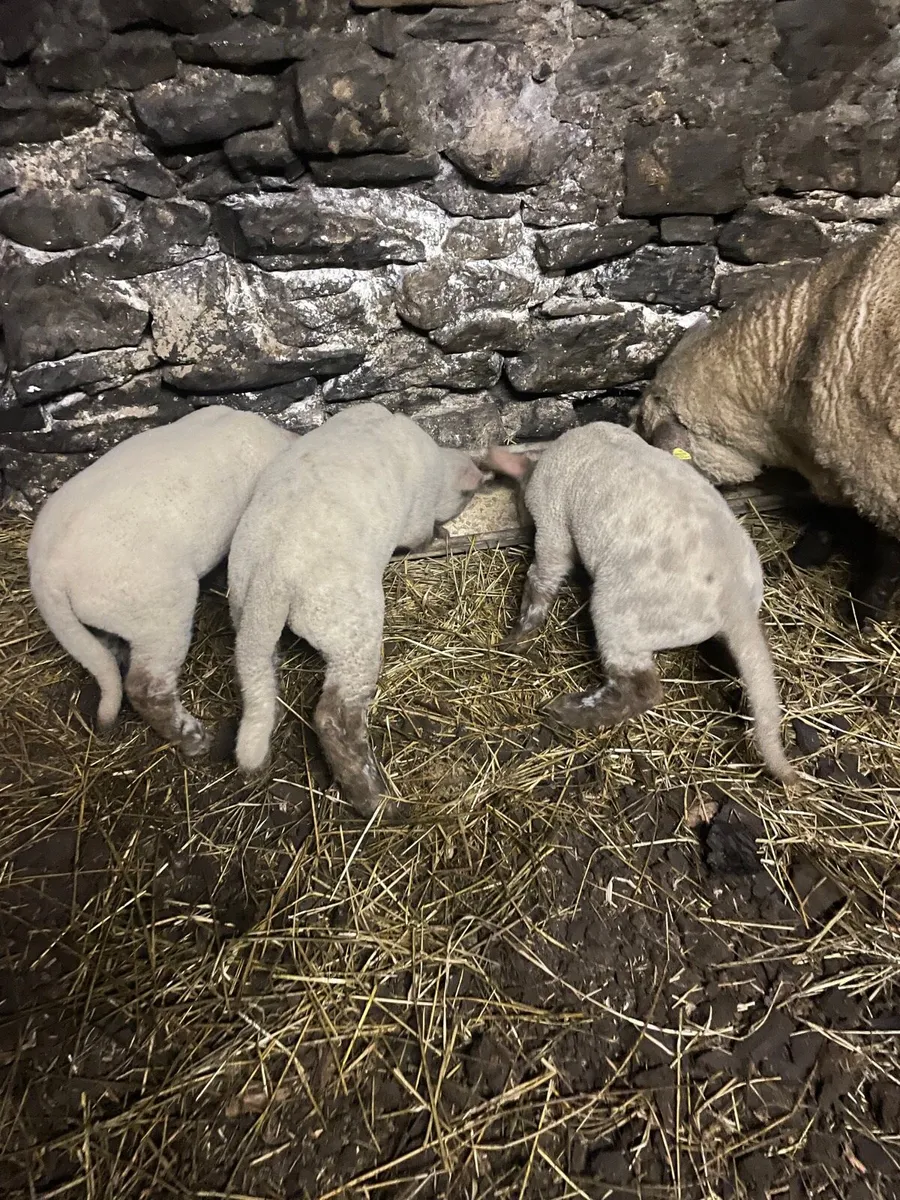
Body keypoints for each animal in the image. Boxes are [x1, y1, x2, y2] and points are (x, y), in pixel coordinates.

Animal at [28, 406, 296, 756]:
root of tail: (47, 574)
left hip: (93, 621)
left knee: (105, 654)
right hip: (157, 613)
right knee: (145, 687)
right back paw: (192, 738)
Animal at [227, 402, 487, 818]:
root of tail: (273, 574)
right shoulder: (416, 518)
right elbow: (419, 537)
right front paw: (440, 535)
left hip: (246, 612)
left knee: (259, 671)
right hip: (350, 628)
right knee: (334, 717)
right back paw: (374, 800)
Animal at [484, 423, 797, 783]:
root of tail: (735, 602)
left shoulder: (552, 522)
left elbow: (542, 578)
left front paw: (514, 639)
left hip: (620, 612)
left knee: (641, 689)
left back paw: (566, 711)